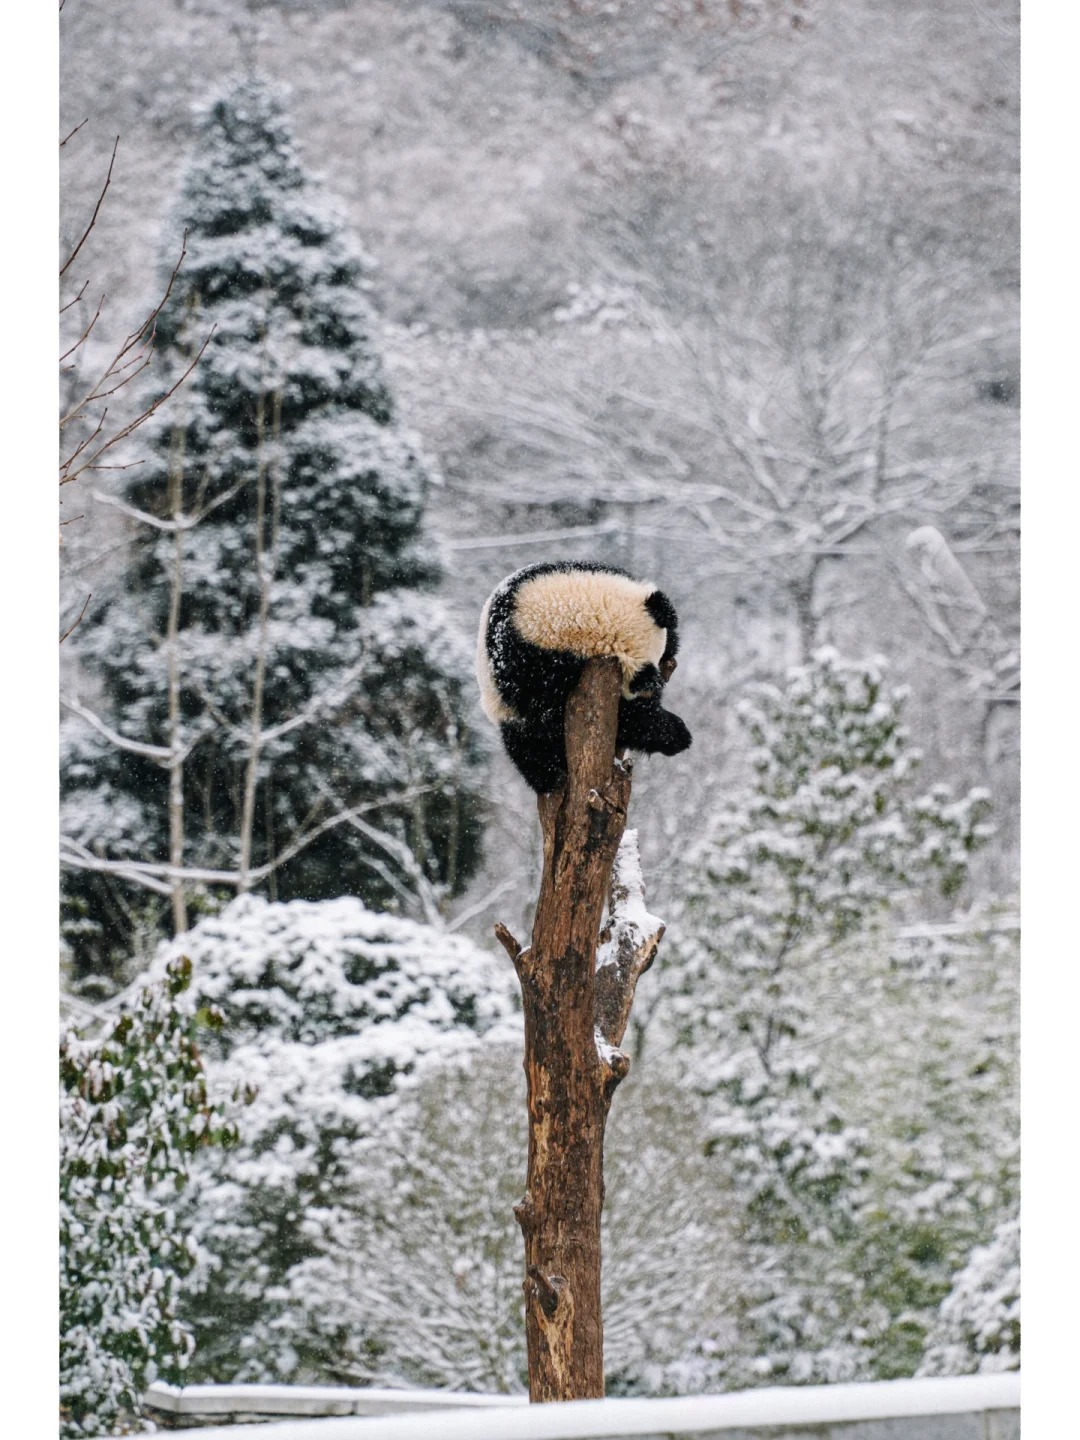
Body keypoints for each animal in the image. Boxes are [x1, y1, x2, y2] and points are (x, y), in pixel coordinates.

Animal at [478, 561, 696, 794]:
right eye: (642, 677)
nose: (652, 687)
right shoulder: (532, 670)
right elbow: (555, 717)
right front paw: (674, 732)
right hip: (504, 710)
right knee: (528, 748)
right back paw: (550, 777)